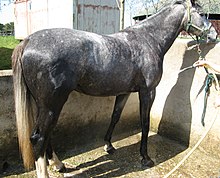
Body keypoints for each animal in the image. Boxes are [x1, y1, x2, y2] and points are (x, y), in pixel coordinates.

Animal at [11, 0, 217, 177]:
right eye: (201, 13)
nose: (214, 35)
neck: (148, 40)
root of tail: (27, 41)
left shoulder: (123, 92)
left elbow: (115, 117)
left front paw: (108, 146)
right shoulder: (148, 92)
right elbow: (144, 122)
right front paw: (145, 157)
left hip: (46, 105)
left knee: (46, 135)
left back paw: (59, 164)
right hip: (52, 105)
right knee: (39, 137)